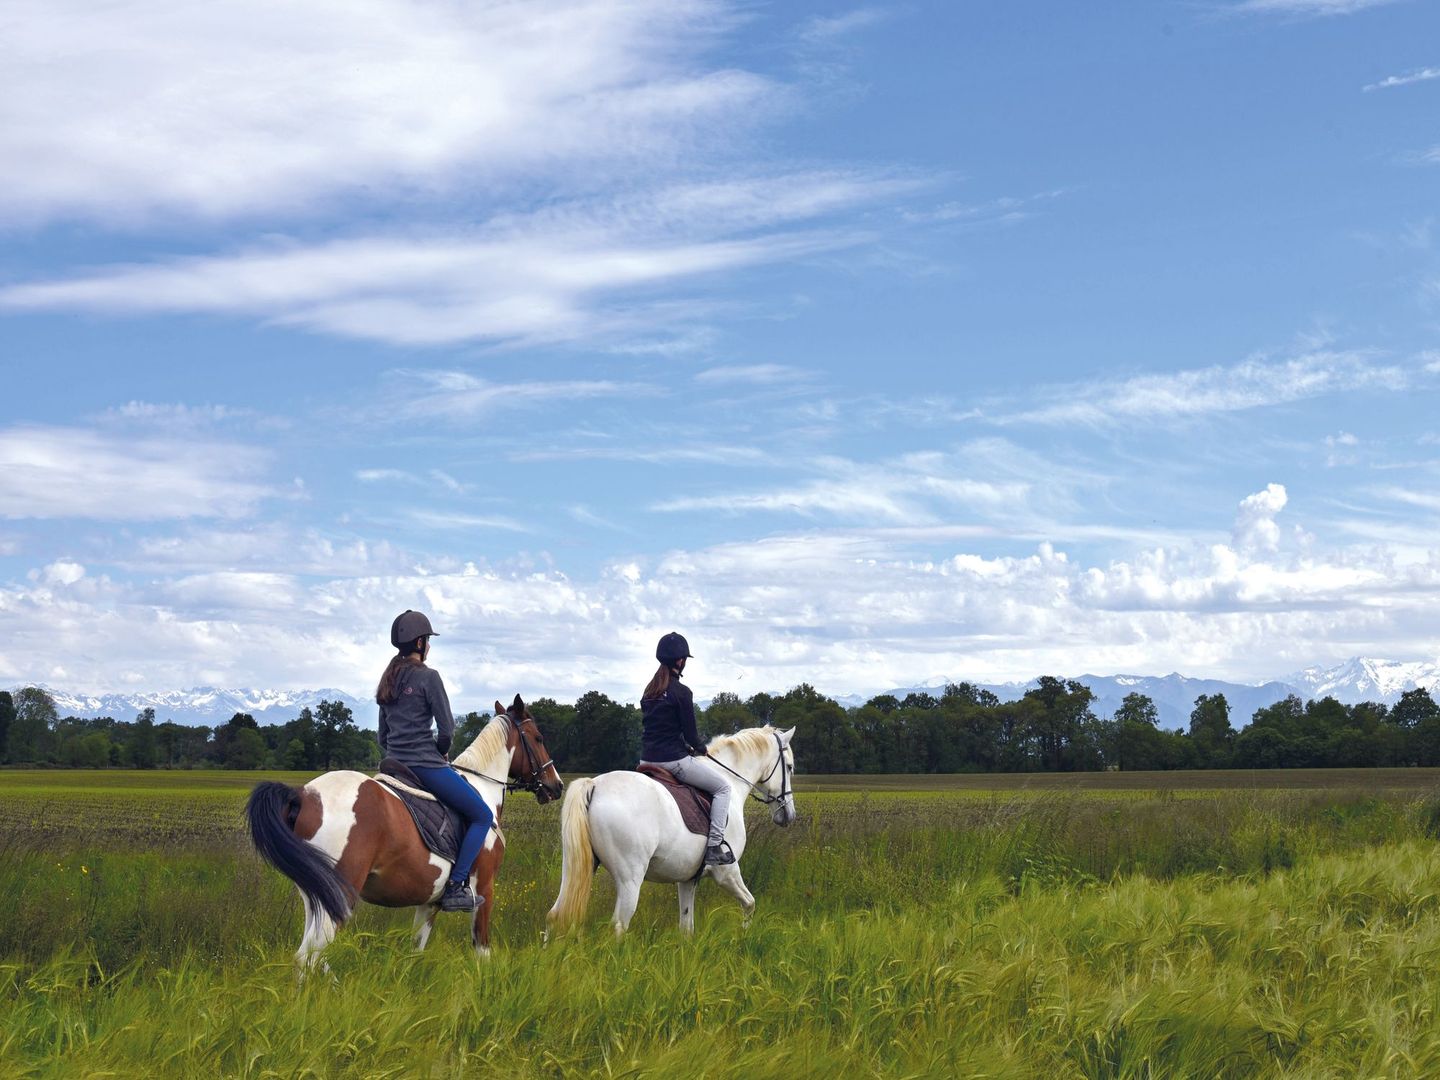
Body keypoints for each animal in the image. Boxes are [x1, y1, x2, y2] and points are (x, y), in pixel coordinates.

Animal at [246, 695, 563, 968]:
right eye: (538, 738)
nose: (556, 785)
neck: (482, 788)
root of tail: (303, 795)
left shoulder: (429, 903)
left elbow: (415, 950)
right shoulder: (484, 888)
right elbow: (482, 952)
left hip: (317, 896)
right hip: (339, 895)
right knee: (309, 955)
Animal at [546, 725, 796, 937]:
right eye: (790, 767)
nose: (789, 815)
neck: (730, 781)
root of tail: (595, 785)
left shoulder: (687, 879)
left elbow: (686, 927)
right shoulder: (727, 871)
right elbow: (749, 903)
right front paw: (744, 937)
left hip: (578, 867)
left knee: (554, 915)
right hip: (630, 879)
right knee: (618, 926)